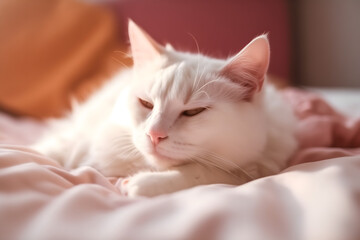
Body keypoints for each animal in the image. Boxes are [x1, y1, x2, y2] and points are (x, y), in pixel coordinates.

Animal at [33, 20, 298, 197]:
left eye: (193, 112)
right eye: (146, 104)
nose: (154, 135)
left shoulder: (257, 166)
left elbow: (203, 172)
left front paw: (142, 184)